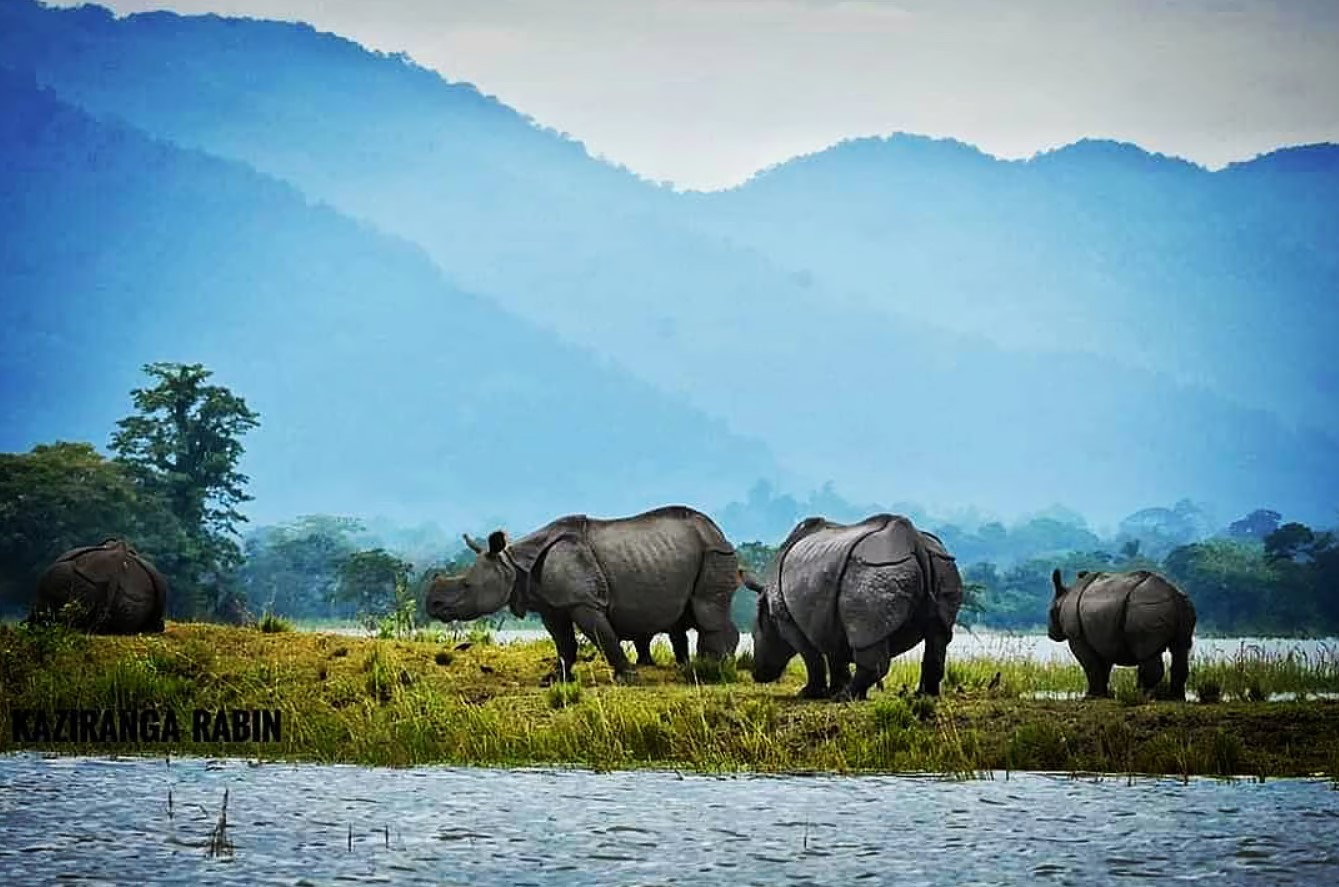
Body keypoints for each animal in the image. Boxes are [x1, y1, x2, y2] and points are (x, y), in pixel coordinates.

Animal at [1049, 570, 1199, 702]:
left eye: (1050, 612)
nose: (1051, 634)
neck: (1065, 596)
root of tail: (1174, 594)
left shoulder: (1076, 636)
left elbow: (1090, 665)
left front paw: (1090, 697)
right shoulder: (1103, 637)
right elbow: (1103, 666)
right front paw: (1102, 695)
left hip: (1146, 608)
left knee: (1146, 653)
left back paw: (1139, 695)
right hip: (1183, 605)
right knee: (1180, 649)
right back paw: (1175, 698)